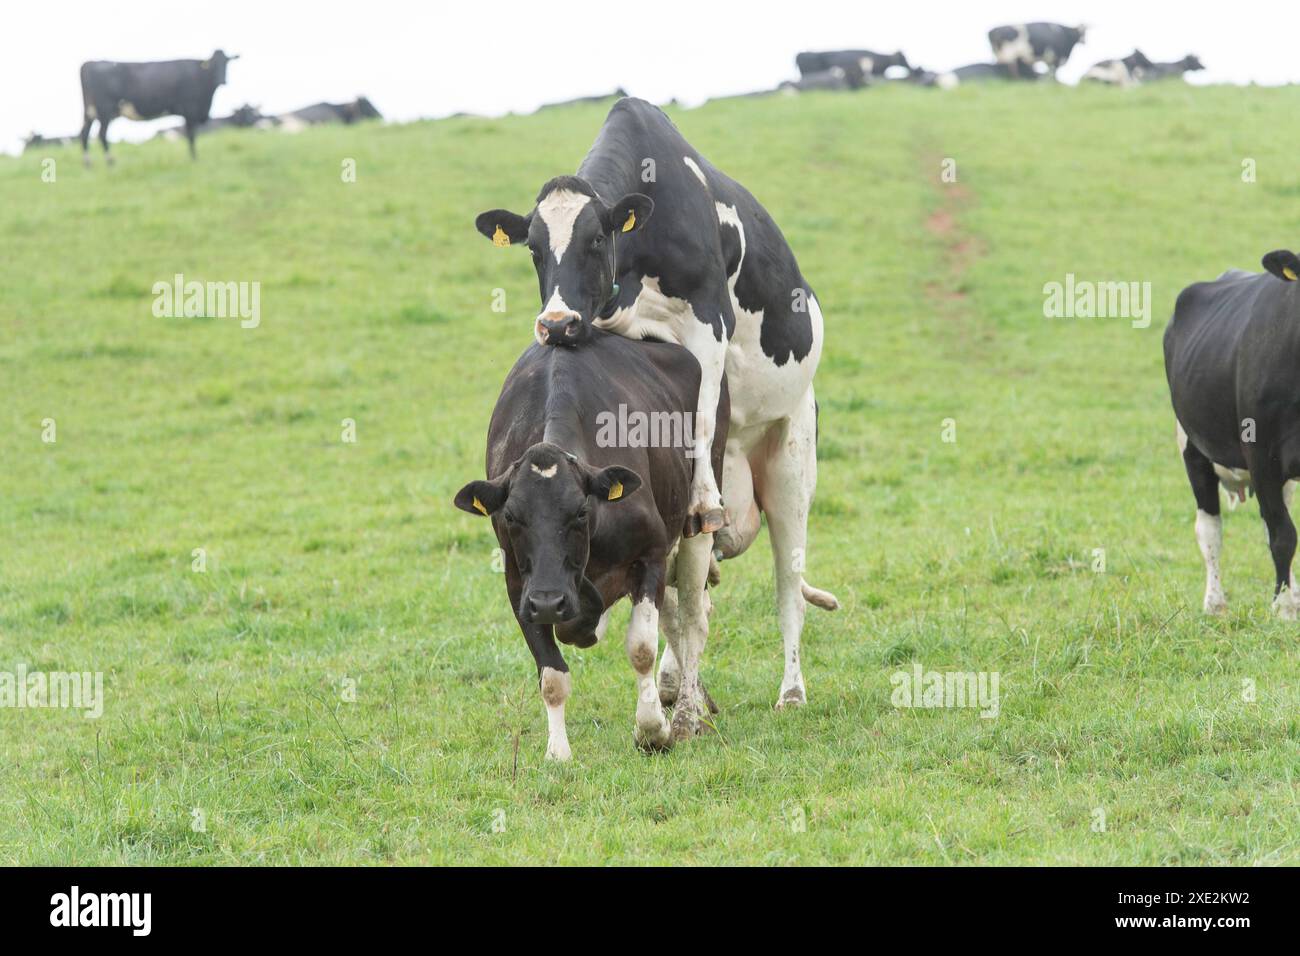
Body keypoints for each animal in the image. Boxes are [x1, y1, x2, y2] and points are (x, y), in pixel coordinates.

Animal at [79, 50, 239, 164]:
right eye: (213, 65)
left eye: (227, 63)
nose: (223, 80)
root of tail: (89, 63)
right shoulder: (190, 110)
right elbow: (191, 136)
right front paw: (194, 159)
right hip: (105, 110)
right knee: (102, 135)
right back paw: (110, 162)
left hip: (90, 111)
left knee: (84, 133)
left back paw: (88, 163)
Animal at [454, 330, 728, 757]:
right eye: (511, 516)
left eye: (581, 512)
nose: (550, 602)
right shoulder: (519, 585)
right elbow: (551, 675)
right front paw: (557, 752)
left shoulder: (650, 554)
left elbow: (642, 648)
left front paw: (652, 730)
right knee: (673, 619)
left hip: (698, 515)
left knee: (693, 619)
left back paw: (687, 715)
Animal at [474, 97, 839, 712]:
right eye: (534, 250)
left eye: (597, 240)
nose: (555, 323)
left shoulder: (709, 319)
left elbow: (705, 408)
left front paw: (703, 497)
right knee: (688, 595)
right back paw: (674, 681)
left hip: (791, 456)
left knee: (786, 584)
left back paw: (790, 690)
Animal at [1164, 250, 1300, 618]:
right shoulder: (1261, 453)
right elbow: (1284, 535)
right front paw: (1283, 609)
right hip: (1193, 449)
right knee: (1210, 530)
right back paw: (1215, 603)